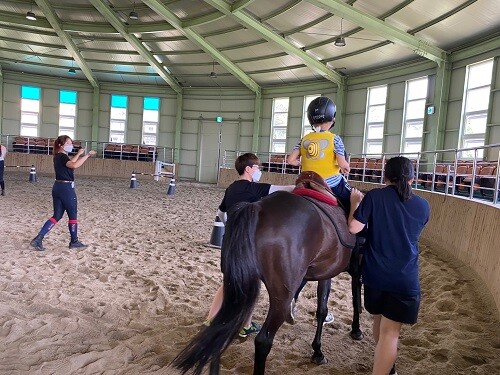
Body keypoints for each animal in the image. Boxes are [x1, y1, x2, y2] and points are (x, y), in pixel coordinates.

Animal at [172, 191, 364, 375]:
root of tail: (258, 208)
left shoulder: (325, 274)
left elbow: (321, 309)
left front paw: (316, 350)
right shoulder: (356, 271)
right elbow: (353, 302)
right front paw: (355, 331)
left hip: (238, 286)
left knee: (220, 330)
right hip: (280, 297)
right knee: (263, 340)